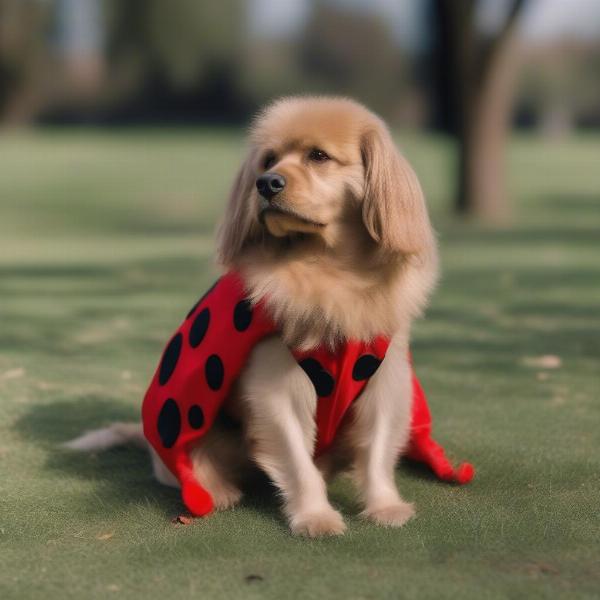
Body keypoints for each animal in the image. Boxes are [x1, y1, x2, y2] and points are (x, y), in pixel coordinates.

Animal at [65, 96, 438, 536]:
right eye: (268, 160)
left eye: (318, 156)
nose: (267, 184)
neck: (330, 270)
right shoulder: (278, 389)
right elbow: (298, 463)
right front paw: (314, 515)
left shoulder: (385, 382)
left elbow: (377, 451)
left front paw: (385, 506)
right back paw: (216, 490)